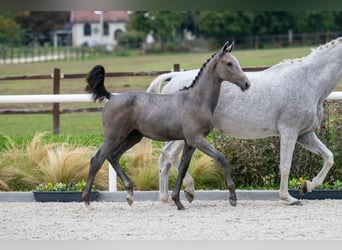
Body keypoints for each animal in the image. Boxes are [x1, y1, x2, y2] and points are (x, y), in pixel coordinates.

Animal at [81, 42, 250, 210]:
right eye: (229, 63)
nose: (246, 83)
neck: (196, 100)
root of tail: (112, 97)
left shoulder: (190, 143)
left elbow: (183, 168)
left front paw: (179, 200)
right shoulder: (197, 139)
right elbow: (221, 158)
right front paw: (232, 197)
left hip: (133, 136)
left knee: (114, 156)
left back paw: (129, 194)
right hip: (114, 136)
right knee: (97, 160)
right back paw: (87, 200)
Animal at [148, 37, 342, 205]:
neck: (308, 81)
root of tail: (174, 78)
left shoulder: (304, 134)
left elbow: (329, 157)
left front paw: (306, 186)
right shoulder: (289, 131)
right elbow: (285, 166)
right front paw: (288, 198)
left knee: (164, 159)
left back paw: (166, 198)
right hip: (186, 134)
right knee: (169, 155)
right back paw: (188, 190)